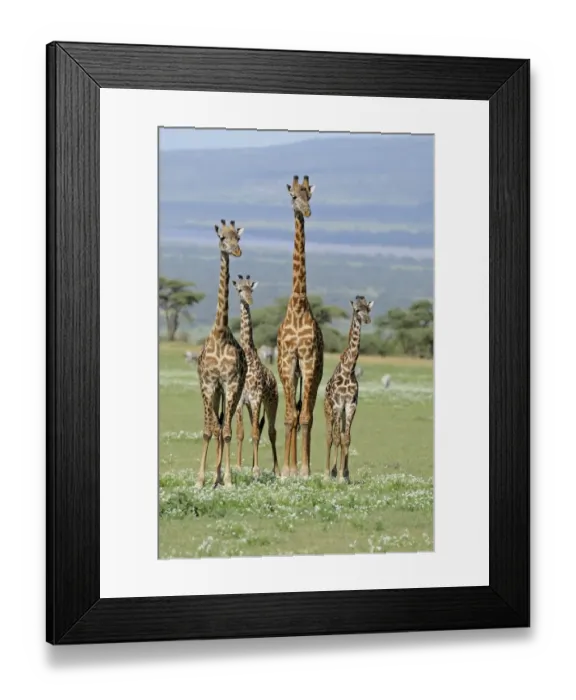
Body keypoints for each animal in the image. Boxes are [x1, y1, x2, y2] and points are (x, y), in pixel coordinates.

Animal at [323, 295, 374, 483]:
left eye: (368, 309)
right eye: (357, 310)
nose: (367, 320)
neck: (349, 369)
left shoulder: (351, 405)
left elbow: (347, 439)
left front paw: (344, 475)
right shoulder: (338, 405)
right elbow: (337, 439)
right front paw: (335, 475)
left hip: (343, 413)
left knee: (341, 435)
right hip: (328, 411)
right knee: (330, 436)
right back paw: (326, 473)